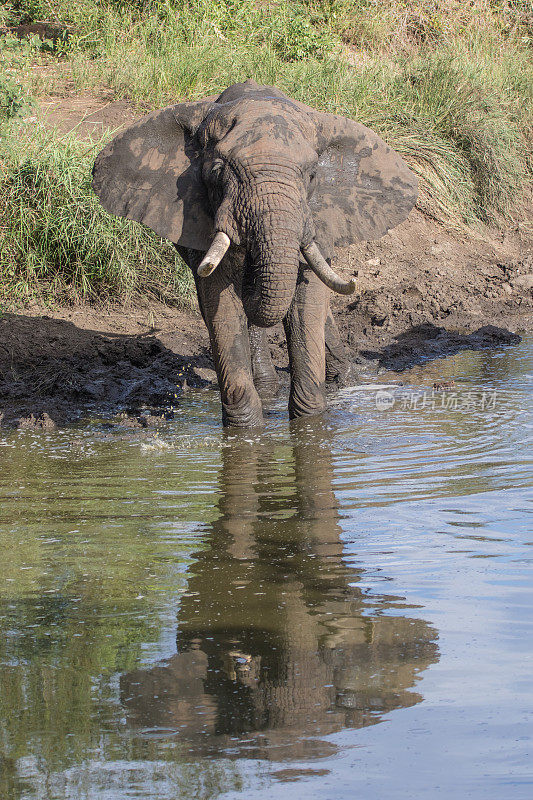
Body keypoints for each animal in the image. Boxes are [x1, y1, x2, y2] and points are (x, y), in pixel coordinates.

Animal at [90, 82, 416, 428]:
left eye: (312, 176)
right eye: (218, 172)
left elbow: (308, 300)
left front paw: (310, 424)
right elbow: (221, 305)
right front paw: (245, 431)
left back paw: (343, 380)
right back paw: (268, 388)